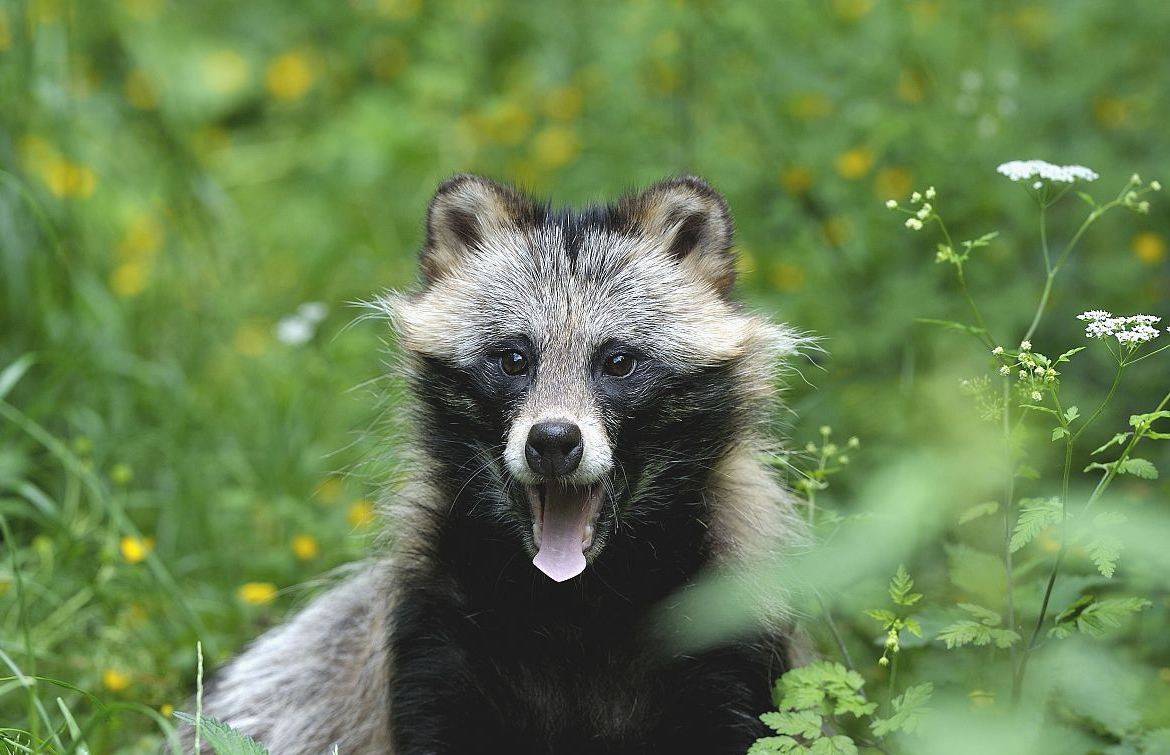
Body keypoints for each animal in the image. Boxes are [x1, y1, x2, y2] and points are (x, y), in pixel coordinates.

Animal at [198, 173, 804, 749]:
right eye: (514, 359)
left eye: (618, 362)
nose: (553, 440)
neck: (575, 601)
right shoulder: (432, 634)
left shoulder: (725, 617)